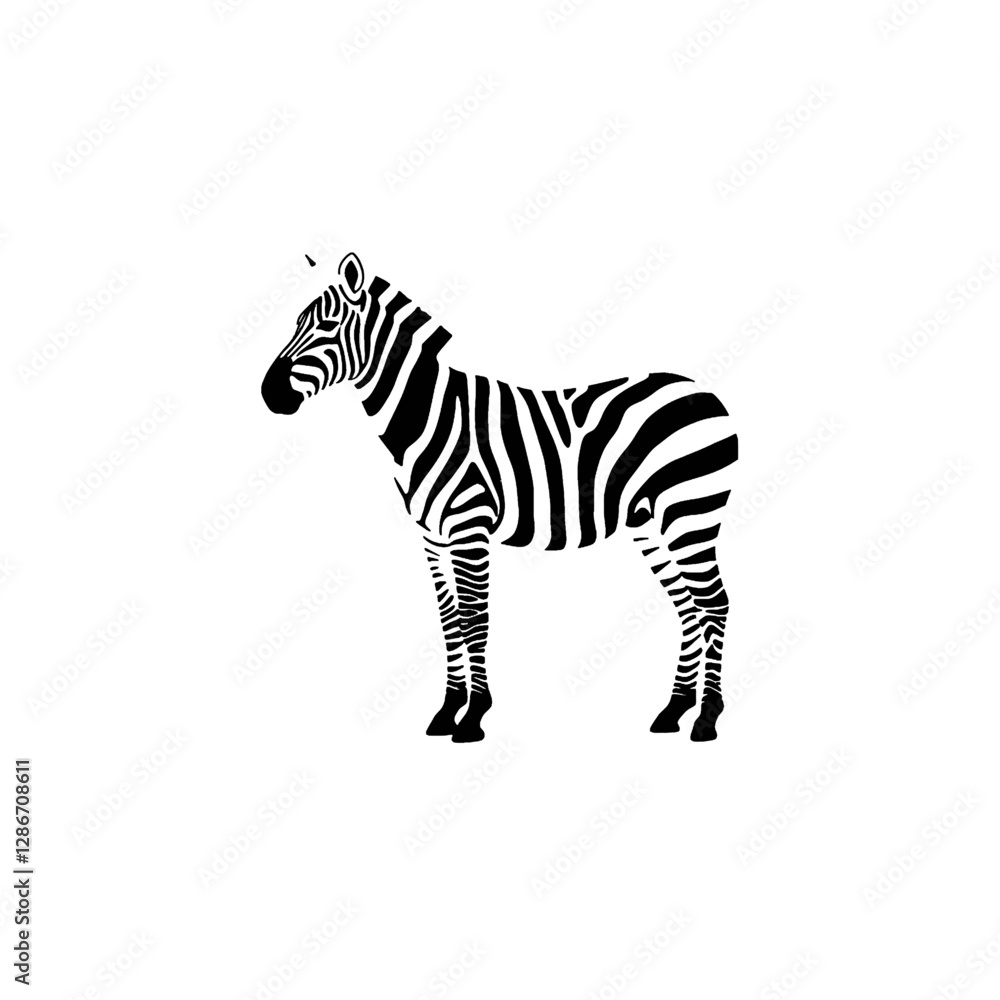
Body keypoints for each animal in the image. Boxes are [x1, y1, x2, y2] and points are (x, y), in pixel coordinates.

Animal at [261, 251, 738, 743]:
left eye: (328, 325)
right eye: (296, 322)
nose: (269, 393)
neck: (427, 418)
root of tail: (704, 391)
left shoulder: (469, 526)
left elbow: (474, 617)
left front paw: (473, 717)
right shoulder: (433, 537)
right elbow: (449, 619)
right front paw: (447, 711)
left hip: (690, 514)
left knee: (714, 604)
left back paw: (706, 718)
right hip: (651, 524)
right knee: (688, 608)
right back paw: (673, 711)